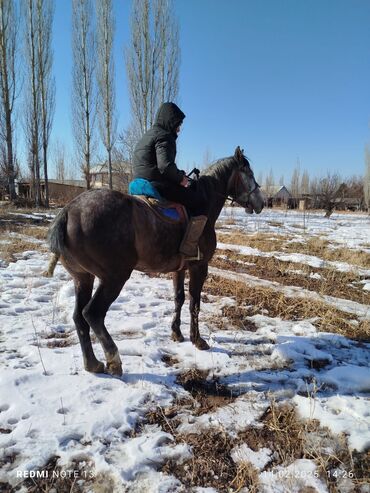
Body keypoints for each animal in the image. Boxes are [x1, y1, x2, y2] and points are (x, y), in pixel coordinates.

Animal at [47, 148, 264, 374]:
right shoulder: (199, 267)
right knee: (93, 314)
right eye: (248, 173)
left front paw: (177, 333)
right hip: (114, 278)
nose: (262, 202)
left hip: (83, 278)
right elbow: (194, 303)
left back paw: (93, 363)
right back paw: (113, 359)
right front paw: (197, 340)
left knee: (79, 317)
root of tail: (69, 210)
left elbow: (179, 298)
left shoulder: (180, 268)